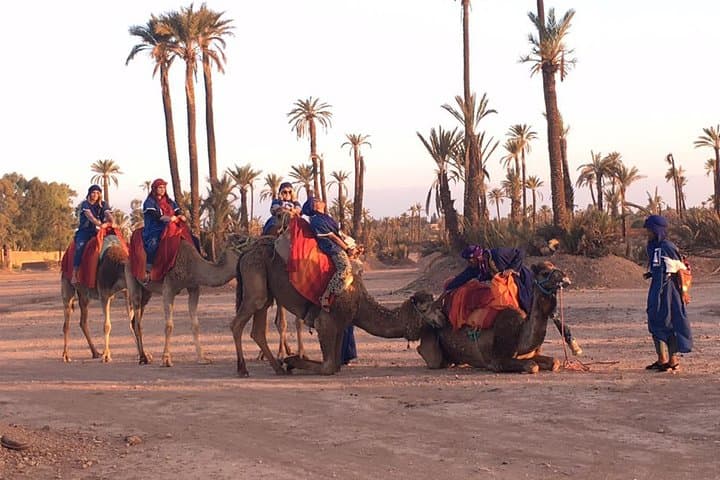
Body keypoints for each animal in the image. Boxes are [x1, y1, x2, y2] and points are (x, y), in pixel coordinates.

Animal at [124, 235, 246, 367]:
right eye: (241, 241)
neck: (193, 265)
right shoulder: (168, 288)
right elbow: (169, 325)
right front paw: (166, 359)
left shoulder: (193, 288)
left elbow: (195, 325)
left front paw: (202, 358)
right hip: (132, 278)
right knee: (137, 317)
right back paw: (143, 358)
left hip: (147, 291)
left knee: (135, 319)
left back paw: (145, 355)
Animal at [231, 237, 445, 376]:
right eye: (426, 308)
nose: (443, 318)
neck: (358, 301)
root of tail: (245, 253)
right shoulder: (325, 322)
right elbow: (328, 367)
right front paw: (291, 361)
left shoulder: (341, 324)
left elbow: (336, 365)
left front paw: (289, 362)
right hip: (255, 277)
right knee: (239, 323)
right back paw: (244, 369)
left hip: (265, 289)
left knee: (258, 329)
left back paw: (277, 368)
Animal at [416, 261, 571, 374]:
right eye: (545, 272)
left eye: (554, 266)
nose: (565, 276)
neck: (521, 334)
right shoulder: (498, 360)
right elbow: (532, 366)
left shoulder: (529, 354)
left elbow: (555, 362)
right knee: (431, 357)